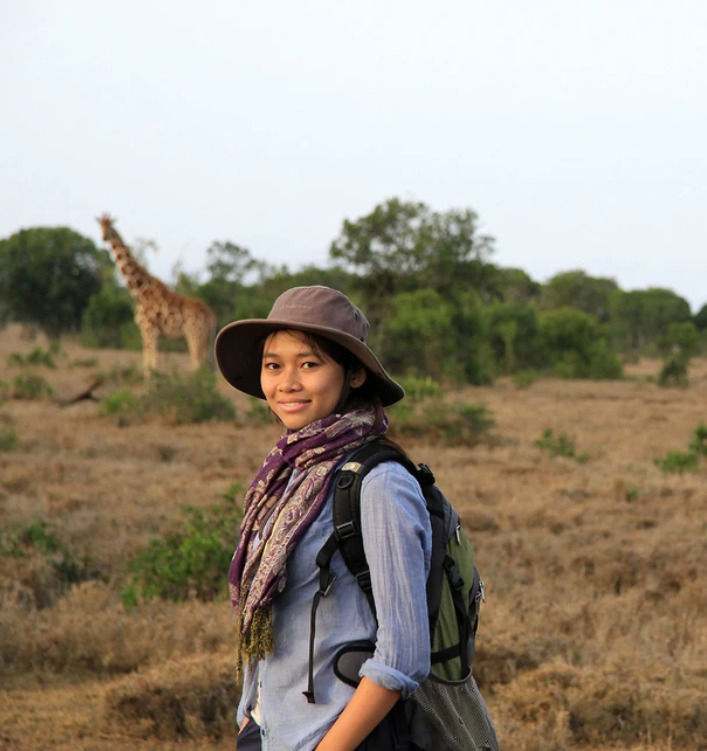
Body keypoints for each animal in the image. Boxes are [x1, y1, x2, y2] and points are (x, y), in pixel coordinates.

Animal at [97, 214, 217, 378]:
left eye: (109, 225)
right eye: (100, 225)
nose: (103, 237)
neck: (139, 293)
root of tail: (211, 316)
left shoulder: (150, 331)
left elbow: (151, 366)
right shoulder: (147, 332)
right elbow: (148, 364)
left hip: (195, 336)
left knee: (199, 365)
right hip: (208, 339)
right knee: (211, 367)